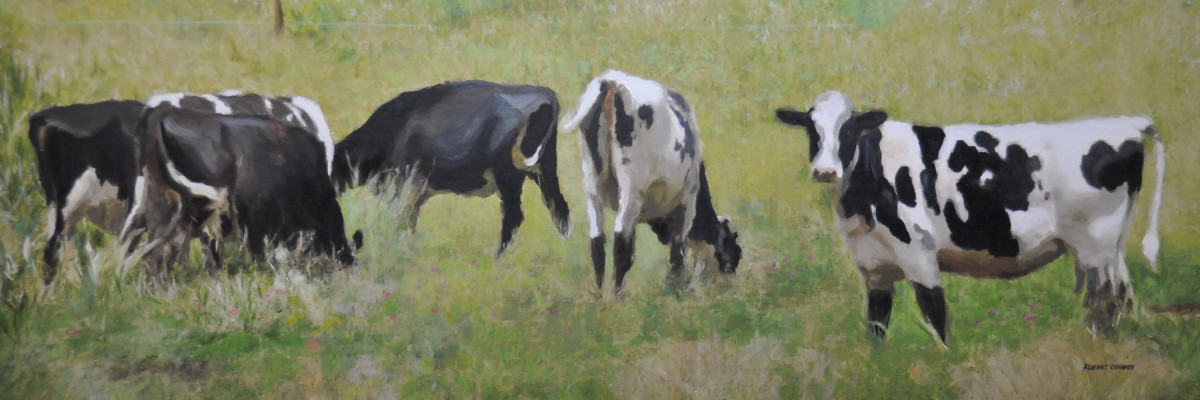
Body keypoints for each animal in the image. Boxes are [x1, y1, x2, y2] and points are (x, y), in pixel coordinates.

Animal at [128, 106, 359, 284]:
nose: (348, 268)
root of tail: (165, 116)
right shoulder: (255, 220)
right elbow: (257, 255)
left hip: (165, 205)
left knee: (157, 250)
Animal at [330, 80, 571, 256]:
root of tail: (543, 92)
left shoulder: (409, 186)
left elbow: (402, 224)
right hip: (545, 168)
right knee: (559, 208)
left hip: (509, 176)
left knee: (514, 216)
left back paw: (497, 258)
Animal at [560, 70, 742, 298]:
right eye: (734, 253)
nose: (730, 285)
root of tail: (611, 81)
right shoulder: (688, 199)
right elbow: (677, 249)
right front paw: (675, 287)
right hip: (631, 189)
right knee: (621, 244)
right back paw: (617, 298)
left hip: (591, 185)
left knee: (597, 244)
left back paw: (601, 297)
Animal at [775, 91, 1164, 345]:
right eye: (811, 129)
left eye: (849, 129)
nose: (825, 171)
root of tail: (1129, 124)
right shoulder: (873, 266)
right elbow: (876, 324)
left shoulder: (919, 254)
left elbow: (936, 315)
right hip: (1110, 247)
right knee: (1121, 296)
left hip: (1095, 243)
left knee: (1106, 300)